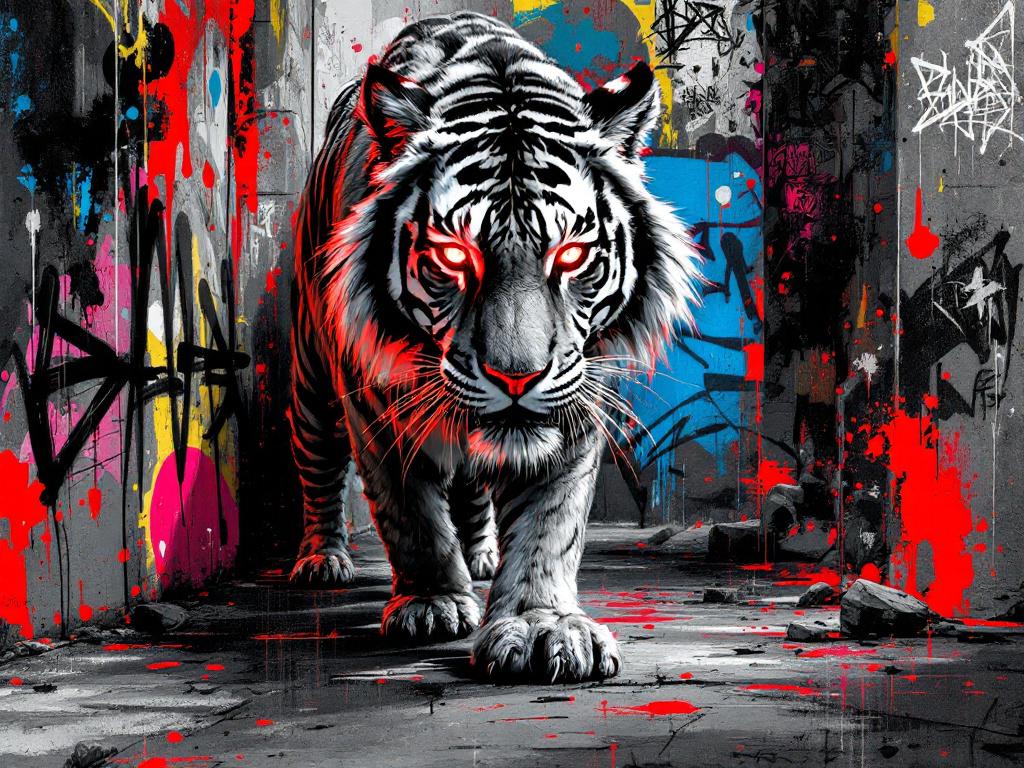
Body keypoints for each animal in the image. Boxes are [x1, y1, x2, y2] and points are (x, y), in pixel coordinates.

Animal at [289, 11, 700, 682]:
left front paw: (542, 625)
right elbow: (410, 511)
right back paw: (323, 560)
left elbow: (549, 524)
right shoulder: (372, 399)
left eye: (570, 255)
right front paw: (431, 602)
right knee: (319, 468)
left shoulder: (577, 398)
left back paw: (481, 556)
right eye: (456, 257)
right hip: (313, 381)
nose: (516, 378)